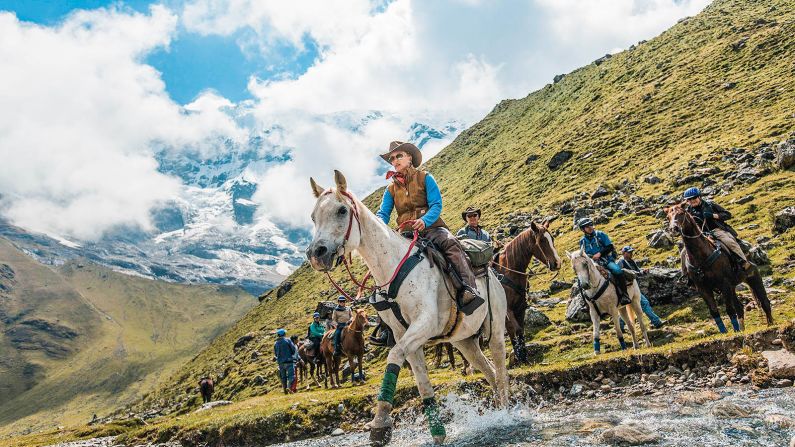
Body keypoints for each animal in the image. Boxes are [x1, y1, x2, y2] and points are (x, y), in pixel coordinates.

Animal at [306, 170, 510, 446]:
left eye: (341, 210)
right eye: (313, 216)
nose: (317, 253)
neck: (394, 267)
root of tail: (491, 270)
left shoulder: (424, 324)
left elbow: (393, 358)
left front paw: (380, 426)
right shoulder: (404, 334)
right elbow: (421, 381)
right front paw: (437, 432)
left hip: (496, 332)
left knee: (500, 368)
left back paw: (509, 414)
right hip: (464, 341)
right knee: (488, 370)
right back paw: (498, 412)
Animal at [492, 220, 560, 364]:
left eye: (552, 238)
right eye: (542, 240)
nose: (557, 263)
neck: (508, 272)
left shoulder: (521, 308)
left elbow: (520, 331)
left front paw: (522, 357)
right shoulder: (508, 309)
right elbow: (517, 329)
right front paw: (520, 355)